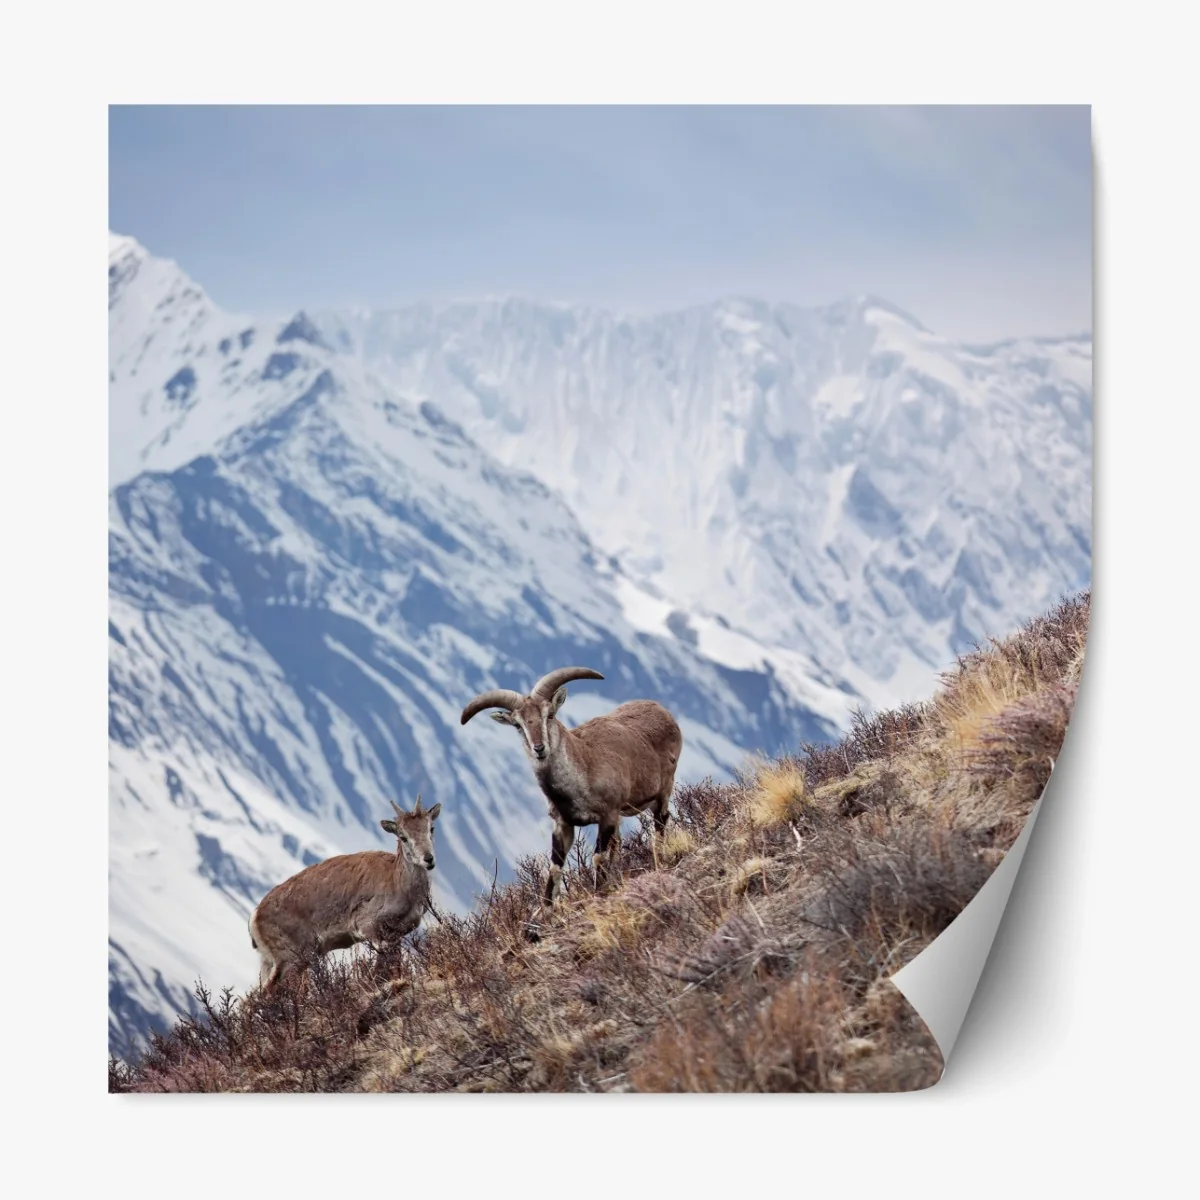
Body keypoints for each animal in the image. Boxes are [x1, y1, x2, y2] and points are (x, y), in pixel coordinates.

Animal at [249, 796, 441, 991]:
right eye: (403, 837)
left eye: (431, 828)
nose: (428, 859)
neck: (399, 884)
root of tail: (254, 918)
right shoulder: (369, 924)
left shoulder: (397, 932)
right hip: (291, 955)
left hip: (270, 960)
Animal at [460, 666, 682, 912]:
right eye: (518, 725)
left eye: (549, 715)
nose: (539, 748)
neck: (584, 769)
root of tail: (662, 711)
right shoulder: (563, 824)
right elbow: (555, 867)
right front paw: (544, 915)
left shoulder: (607, 814)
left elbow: (598, 857)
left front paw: (599, 893)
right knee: (619, 843)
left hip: (663, 788)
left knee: (660, 821)